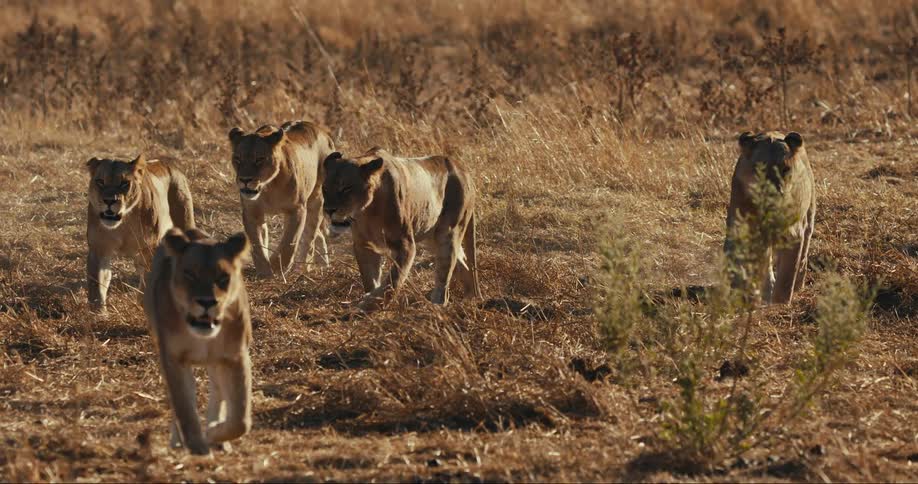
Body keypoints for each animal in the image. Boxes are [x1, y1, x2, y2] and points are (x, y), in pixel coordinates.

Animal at [86, 155, 195, 313]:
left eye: (124, 183)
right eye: (100, 182)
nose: (109, 201)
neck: (123, 224)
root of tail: (168, 163)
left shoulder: (150, 249)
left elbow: (148, 279)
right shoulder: (99, 249)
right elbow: (97, 284)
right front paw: (99, 313)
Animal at [143, 227, 252, 456]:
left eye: (223, 277)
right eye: (190, 274)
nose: (207, 302)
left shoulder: (235, 356)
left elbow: (241, 418)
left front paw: (214, 433)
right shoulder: (173, 359)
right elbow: (184, 407)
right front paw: (197, 447)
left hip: (217, 362)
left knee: (218, 392)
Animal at [228, 120, 334, 278]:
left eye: (259, 159)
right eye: (238, 159)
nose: (245, 180)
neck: (268, 187)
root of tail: (322, 131)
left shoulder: (297, 209)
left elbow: (289, 242)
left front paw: (277, 266)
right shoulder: (251, 212)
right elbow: (257, 245)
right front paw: (265, 271)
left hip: (316, 199)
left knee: (310, 236)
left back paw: (304, 267)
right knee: (317, 235)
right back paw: (321, 263)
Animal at [322, 147, 482, 311]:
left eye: (346, 188)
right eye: (325, 189)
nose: (329, 210)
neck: (367, 211)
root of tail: (462, 167)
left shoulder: (405, 244)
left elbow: (393, 281)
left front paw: (370, 304)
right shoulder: (364, 245)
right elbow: (370, 280)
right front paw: (368, 300)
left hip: (449, 231)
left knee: (445, 273)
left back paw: (437, 306)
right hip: (432, 236)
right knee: (463, 263)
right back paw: (470, 299)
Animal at [725, 131, 816, 304]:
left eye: (785, 169)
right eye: (759, 169)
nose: (774, 192)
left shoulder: (794, 233)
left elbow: (787, 275)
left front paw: (780, 304)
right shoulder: (739, 229)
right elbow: (737, 263)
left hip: (808, 219)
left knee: (803, 256)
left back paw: (797, 285)